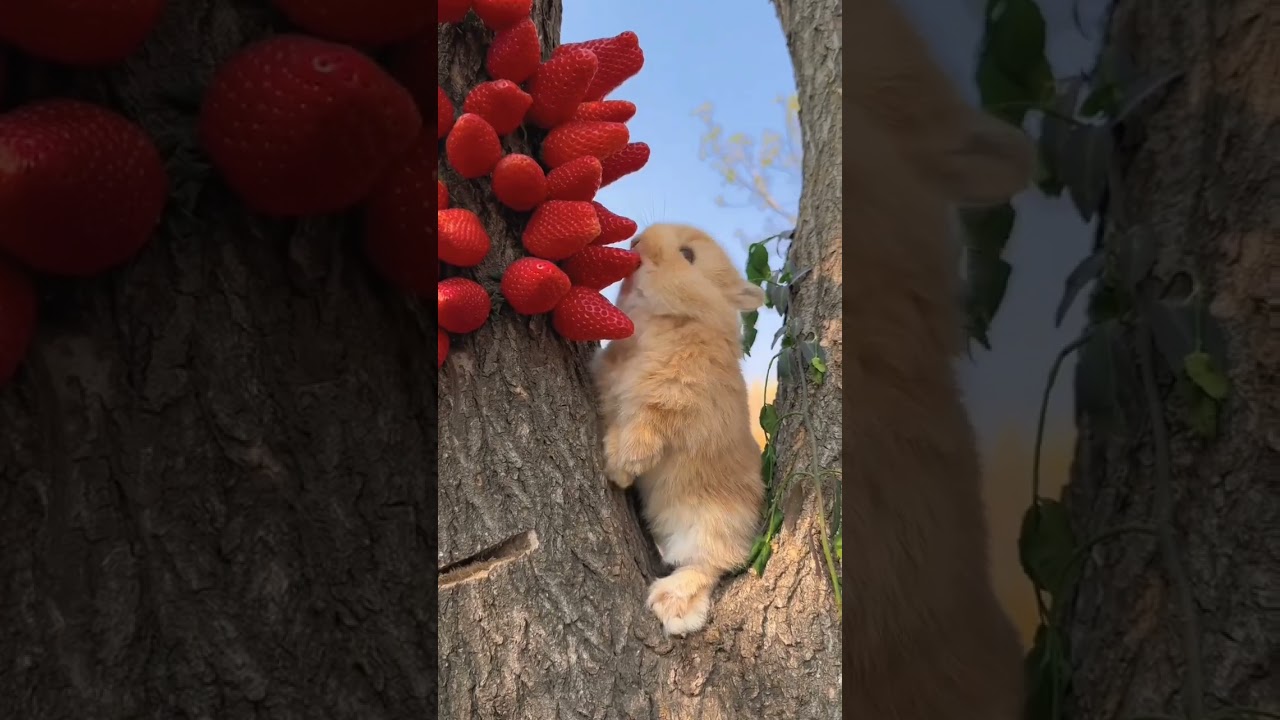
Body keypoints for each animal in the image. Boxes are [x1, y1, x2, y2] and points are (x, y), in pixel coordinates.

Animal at [592, 223, 766, 636]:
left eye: (688, 255)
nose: (636, 242)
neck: (667, 322)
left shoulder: (673, 402)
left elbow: (642, 435)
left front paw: (618, 470)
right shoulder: (609, 383)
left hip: (714, 522)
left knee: (713, 563)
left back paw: (674, 604)